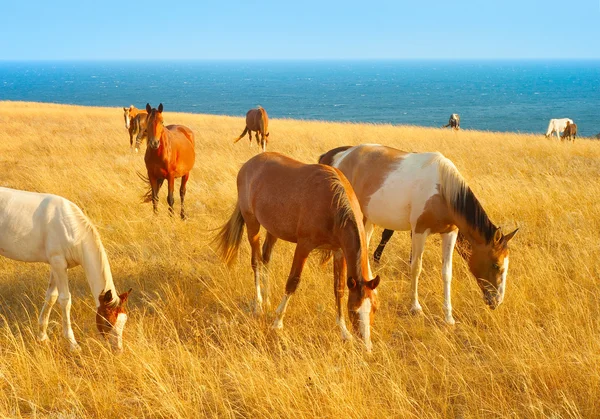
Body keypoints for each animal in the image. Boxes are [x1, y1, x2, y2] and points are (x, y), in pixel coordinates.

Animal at [0, 187, 132, 352]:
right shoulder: (58, 263)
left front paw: (42, 337)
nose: (118, 350)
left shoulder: (57, 266)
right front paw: (73, 345)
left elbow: (51, 297)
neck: (69, 227)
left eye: (124, 320)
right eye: (108, 322)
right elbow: (65, 300)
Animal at [216, 153, 380, 352]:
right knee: (256, 262)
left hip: (273, 230)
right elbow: (293, 282)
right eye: (354, 311)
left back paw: (267, 299)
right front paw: (278, 322)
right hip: (252, 223)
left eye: (374, 308)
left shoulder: (339, 251)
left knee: (265, 259)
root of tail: (249, 164)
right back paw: (259, 304)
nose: (367, 347)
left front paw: (343, 331)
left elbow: (338, 289)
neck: (333, 204)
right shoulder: (303, 246)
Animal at [322, 144, 516, 324]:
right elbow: (416, 267)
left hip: (367, 220)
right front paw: (415, 307)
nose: (497, 301)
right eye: (496, 265)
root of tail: (342, 157)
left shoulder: (450, 233)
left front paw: (448, 317)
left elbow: (447, 272)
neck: (443, 190)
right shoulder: (419, 231)